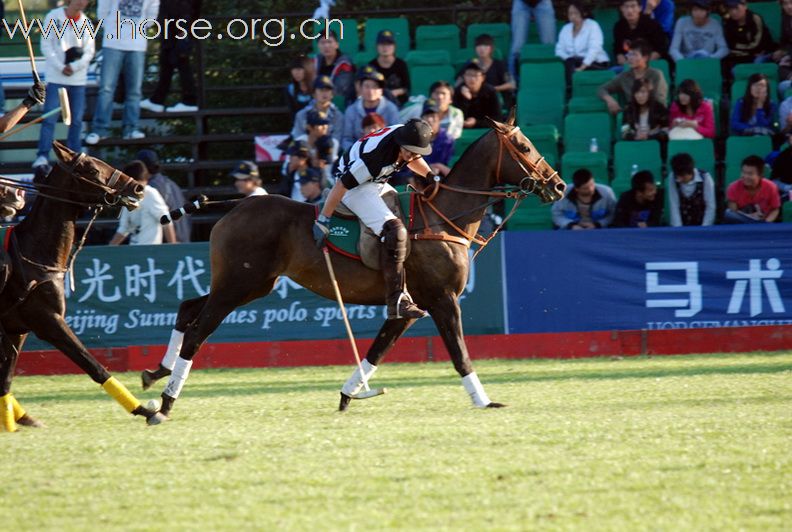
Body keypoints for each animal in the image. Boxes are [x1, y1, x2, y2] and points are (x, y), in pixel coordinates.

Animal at [1, 142, 166, 432]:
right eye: (91, 169)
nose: (138, 188)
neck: (35, 255)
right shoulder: (48, 320)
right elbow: (93, 365)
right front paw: (146, 411)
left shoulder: (16, 329)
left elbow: (6, 378)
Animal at [141, 113, 564, 420]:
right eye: (524, 146)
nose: (558, 186)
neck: (444, 218)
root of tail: (239, 203)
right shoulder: (443, 299)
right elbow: (459, 352)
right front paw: (484, 401)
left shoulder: (410, 306)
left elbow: (377, 351)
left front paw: (348, 396)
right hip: (239, 284)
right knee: (198, 331)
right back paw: (166, 400)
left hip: (248, 283)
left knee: (187, 308)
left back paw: (155, 372)